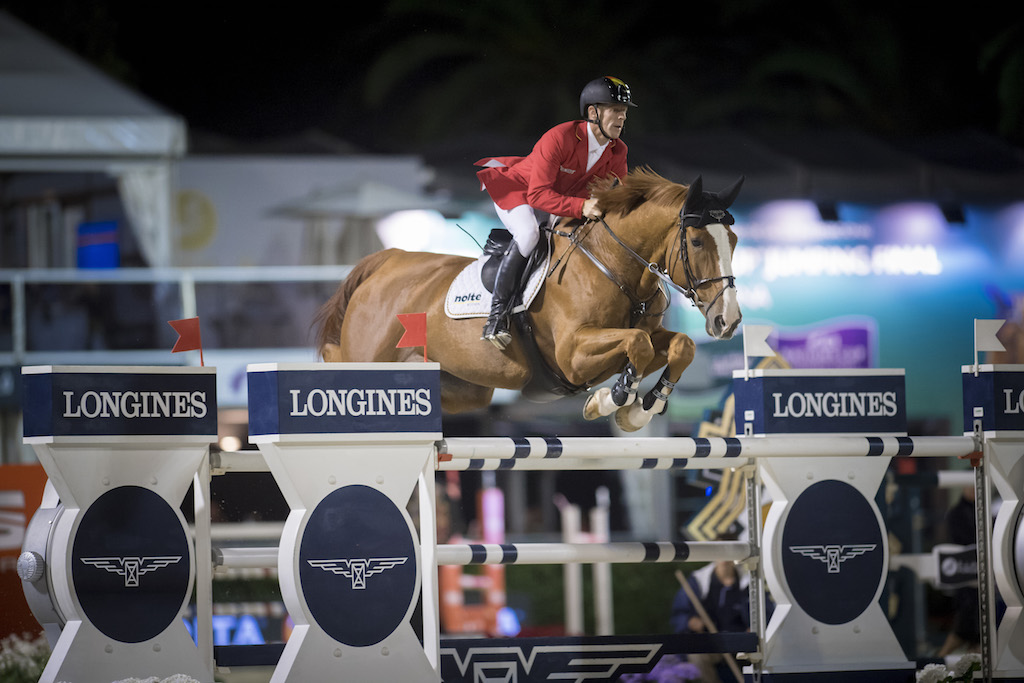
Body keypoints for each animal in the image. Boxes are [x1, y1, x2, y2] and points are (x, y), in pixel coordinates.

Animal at [311, 167, 745, 430]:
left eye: (735, 240)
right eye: (696, 241)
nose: (729, 321)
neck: (612, 265)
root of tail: (387, 261)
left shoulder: (642, 339)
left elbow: (680, 346)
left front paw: (641, 409)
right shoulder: (573, 355)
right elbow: (636, 344)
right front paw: (613, 398)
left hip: (466, 389)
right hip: (367, 362)